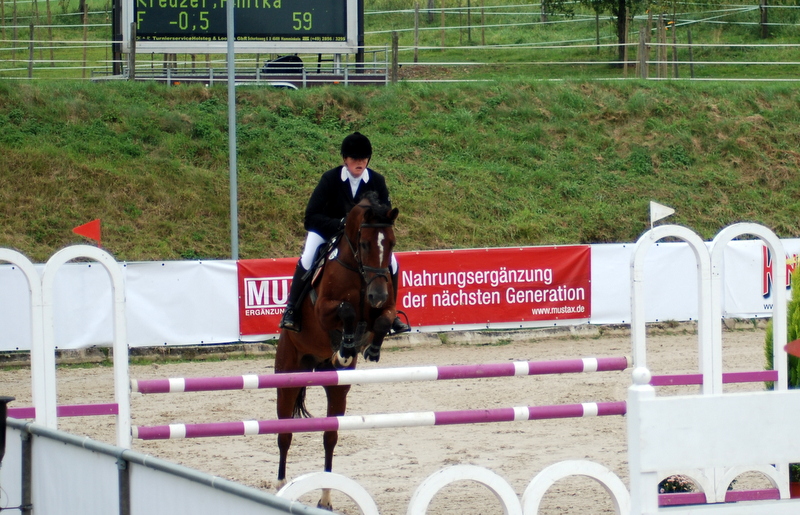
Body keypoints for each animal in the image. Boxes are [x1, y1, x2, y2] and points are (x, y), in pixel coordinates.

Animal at [276, 191, 400, 510]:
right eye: (364, 243)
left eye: (391, 243)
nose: (377, 295)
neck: (359, 272)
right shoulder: (323, 309)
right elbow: (346, 311)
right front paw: (345, 345)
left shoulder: (384, 307)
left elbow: (383, 320)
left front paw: (369, 349)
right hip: (288, 375)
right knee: (284, 432)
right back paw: (281, 485)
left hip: (337, 387)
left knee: (329, 436)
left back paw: (326, 497)